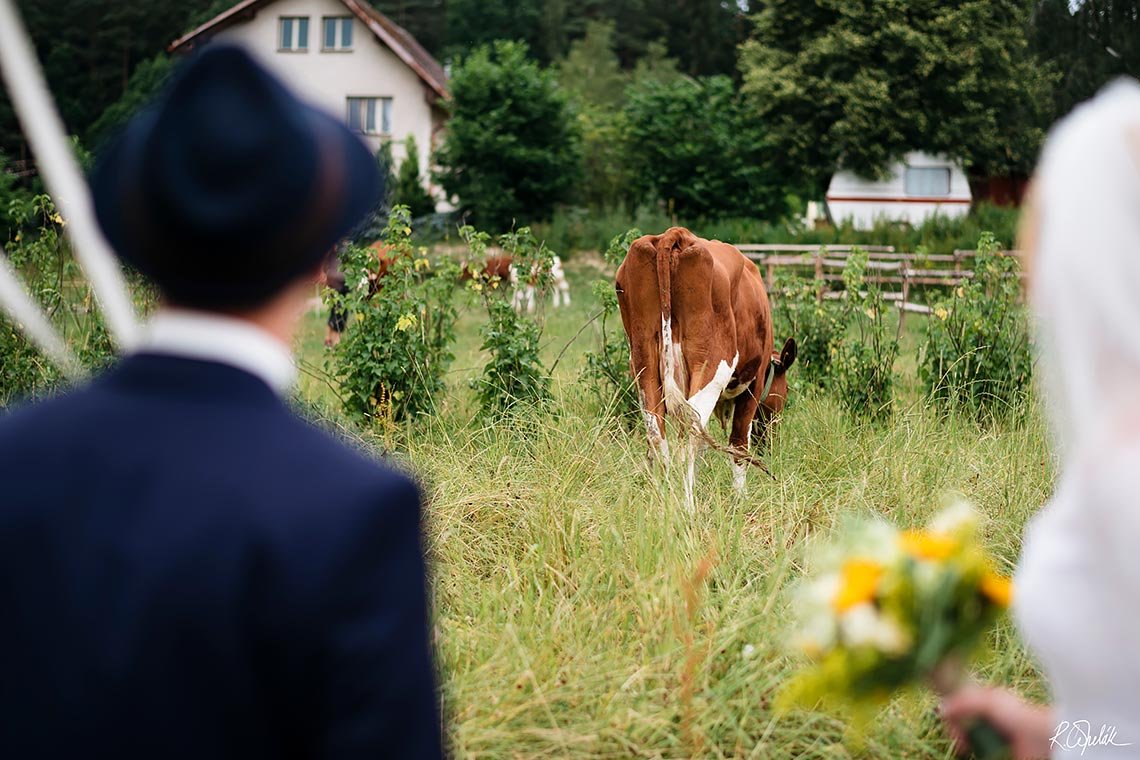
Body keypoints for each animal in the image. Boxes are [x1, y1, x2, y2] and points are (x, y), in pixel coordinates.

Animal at [620, 225, 788, 510]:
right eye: (784, 396)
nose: (773, 442)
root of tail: (675, 235)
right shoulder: (753, 386)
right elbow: (738, 444)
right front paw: (740, 498)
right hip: (712, 365)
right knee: (691, 430)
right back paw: (687, 505)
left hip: (644, 364)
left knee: (657, 431)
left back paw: (663, 498)